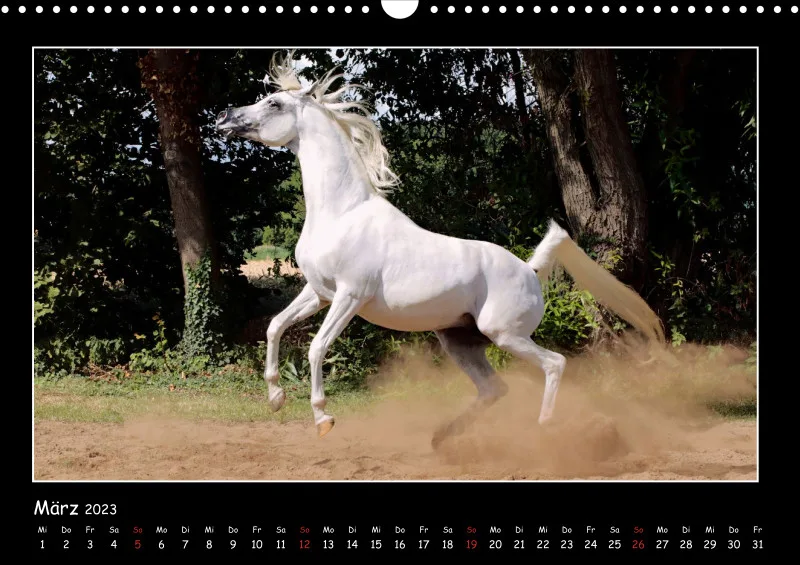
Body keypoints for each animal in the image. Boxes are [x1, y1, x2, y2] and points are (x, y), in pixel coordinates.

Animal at [215, 52, 665, 447]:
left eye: (273, 102)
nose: (224, 119)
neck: (342, 211)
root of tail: (531, 269)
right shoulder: (318, 292)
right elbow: (275, 327)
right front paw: (276, 398)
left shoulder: (349, 296)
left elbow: (315, 348)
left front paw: (323, 418)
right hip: (460, 342)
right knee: (494, 389)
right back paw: (443, 436)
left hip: (505, 334)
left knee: (555, 364)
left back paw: (544, 431)